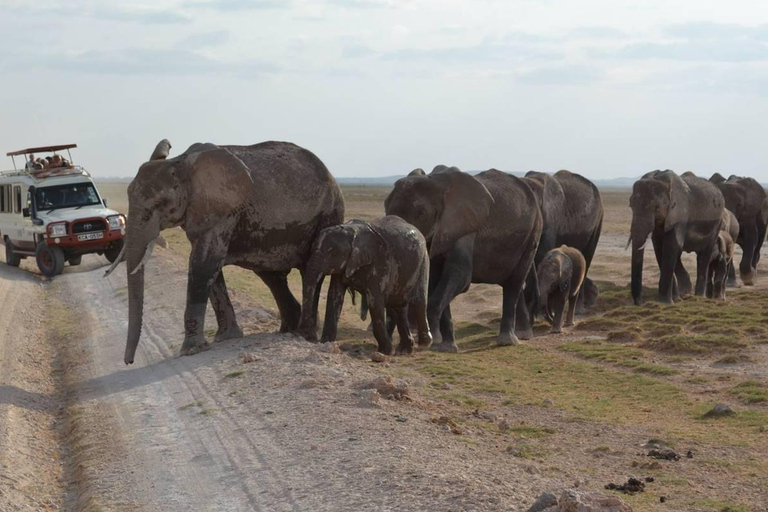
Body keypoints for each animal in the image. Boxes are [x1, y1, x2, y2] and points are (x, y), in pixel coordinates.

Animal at [112, 140, 344, 364]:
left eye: (161, 203)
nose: (129, 362)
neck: (181, 163)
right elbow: (208, 268)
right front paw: (226, 338)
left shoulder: (220, 211)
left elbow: (203, 264)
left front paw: (191, 351)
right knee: (272, 276)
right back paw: (286, 331)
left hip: (328, 215)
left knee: (309, 273)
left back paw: (305, 336)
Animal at [296, 214, 432, 354]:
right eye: (312, 248)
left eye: (333, 253)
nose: (307, 337)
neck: (352, 232)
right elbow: (334, 297)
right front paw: (325, 343)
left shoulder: (380, 262)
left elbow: (374, 301)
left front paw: (385, 352)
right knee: (398, 306)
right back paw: (405, 349)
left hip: (423, 261)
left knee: (418, 301)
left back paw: (424, 344)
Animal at [382, 166, 540, 350]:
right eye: (386, 209)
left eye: (421, 213)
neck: (435, 182)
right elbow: (436, 278)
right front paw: (445, 347)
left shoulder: (463, 226)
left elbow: (459, 275)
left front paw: (433, 340)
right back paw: (523, 335)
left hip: (533, 234)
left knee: (514, 283)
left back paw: (507, 340)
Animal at [628, 170, 724, 304]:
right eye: (631, 206)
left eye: (656, 208)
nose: (639, 302)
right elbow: (660, 249)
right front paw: (674, 298)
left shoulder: (679, 215)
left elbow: (671, 247)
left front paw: (666, 302)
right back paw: (685, 291)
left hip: (717, 224)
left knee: (704, 256)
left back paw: (699, 296)